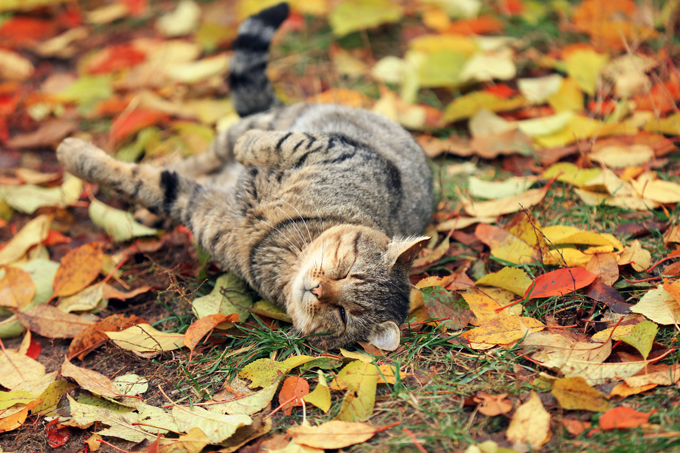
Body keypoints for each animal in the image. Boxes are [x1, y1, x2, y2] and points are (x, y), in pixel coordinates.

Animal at [55, 2, 432, 350]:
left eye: (343, 314)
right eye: (348, 269)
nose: (318, 289)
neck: (284, 242)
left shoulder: (198, 208)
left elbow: (146, 182)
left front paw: (75, 156)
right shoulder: (343, 151)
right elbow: (281, 143)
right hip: (264, 123)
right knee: (217, 151)